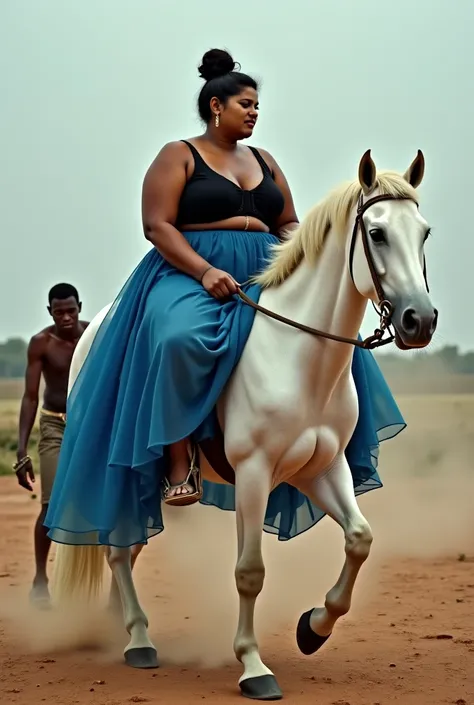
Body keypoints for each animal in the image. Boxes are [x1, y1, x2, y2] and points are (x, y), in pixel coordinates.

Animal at [51, 150, 436, 700]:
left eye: (424, 232)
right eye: (378, 233)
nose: (418, 321)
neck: (298, 356)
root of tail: (91, 331)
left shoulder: (323, 469)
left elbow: (359, 539)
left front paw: (313, 628)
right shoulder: (254, 473)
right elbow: (250, 571)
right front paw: (254, 667)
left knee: (128, 542)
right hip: (116, 469)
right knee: (118, 552)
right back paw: (139, 641)